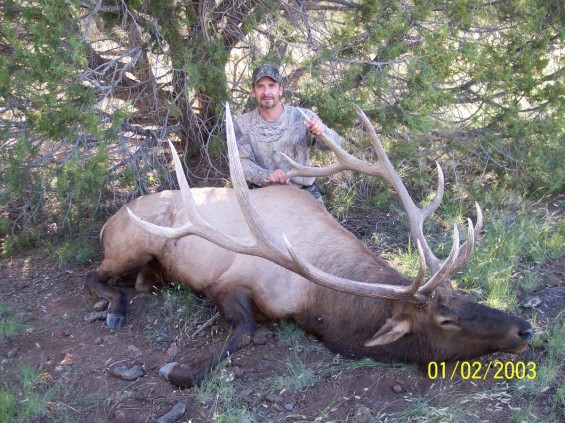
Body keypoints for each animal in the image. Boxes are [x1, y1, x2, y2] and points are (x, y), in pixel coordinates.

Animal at [86, 103, 532, 388]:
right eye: (446, 320)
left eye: (462, 296)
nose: (525, 328)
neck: (315, 301)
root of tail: (110, 219)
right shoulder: (228, 282)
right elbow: (244, 331)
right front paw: (176, 371)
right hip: (132, 243)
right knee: (94, 275)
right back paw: (114, 309)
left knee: (137, 281)